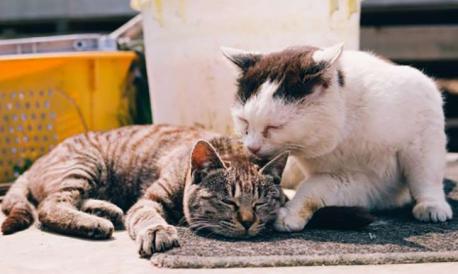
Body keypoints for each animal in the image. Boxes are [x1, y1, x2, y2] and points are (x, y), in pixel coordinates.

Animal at [0, 124, 372, 256]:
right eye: (227, 200)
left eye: (261, 202)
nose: (248, 221)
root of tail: (40, 158)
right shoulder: (149, 200)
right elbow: (147, 216)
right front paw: (158, 232)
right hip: (84, 165)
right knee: (49, 206)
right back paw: (94, 222)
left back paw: (105, 210)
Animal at [224, 42, 452, 231]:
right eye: (244, 121)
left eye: (275, 127)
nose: (252, 147)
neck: (345, 130)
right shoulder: (363, 182)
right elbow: (313, 187)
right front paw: (291, 211)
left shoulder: (423, 126)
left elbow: (425, 175)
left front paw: (432, 205)